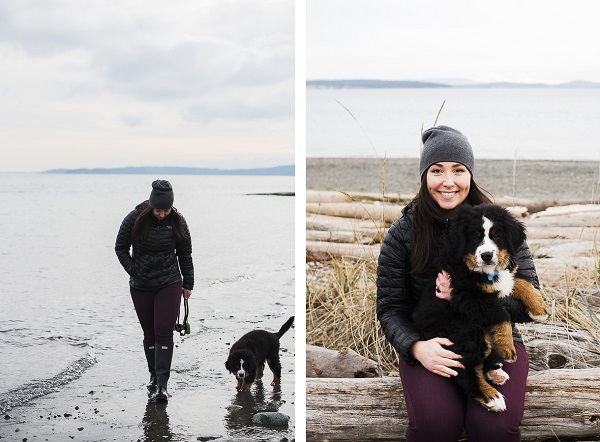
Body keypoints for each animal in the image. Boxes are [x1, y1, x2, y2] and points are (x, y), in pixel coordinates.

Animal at [414, 204, 548, 410]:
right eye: (475, 237)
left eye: (496, 235)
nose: (486, 255)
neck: (485, 271)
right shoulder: (468, 296)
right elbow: (501, 313)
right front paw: (507, 346)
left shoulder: (502, 278)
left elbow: (519, 281)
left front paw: (539, 308)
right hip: (467, 331)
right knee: (465, 370)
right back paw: (490, 396)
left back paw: (494, 372)